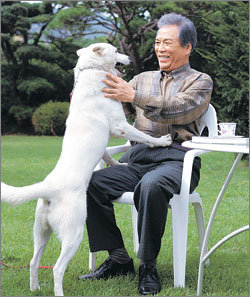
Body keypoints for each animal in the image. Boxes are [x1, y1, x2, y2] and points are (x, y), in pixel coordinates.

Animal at [0, 42, 172, 294]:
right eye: (116, 50)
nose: (129, 58)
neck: (92, 71)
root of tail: (49, 187)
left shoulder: (107, 140)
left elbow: (107, 154)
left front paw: (119, 163)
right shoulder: (119, 126)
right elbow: (142, 136)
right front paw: (162, 142)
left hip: (41, 232)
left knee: (33, 261)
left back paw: (35, 289)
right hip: (74, 233)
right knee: (57, 269)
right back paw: (58, 292)